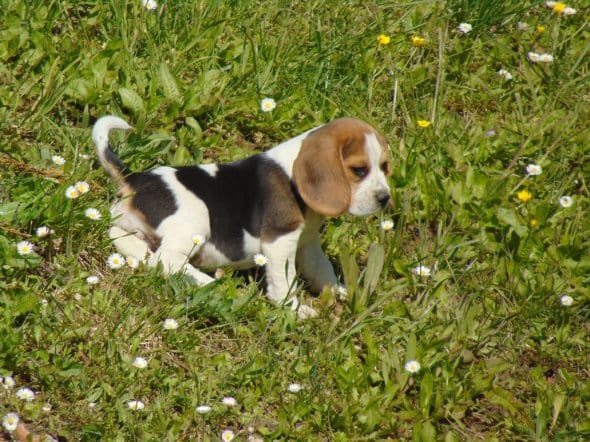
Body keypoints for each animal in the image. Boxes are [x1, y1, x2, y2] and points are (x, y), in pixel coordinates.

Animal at [93, 117, 394, 318]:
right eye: (359, 170)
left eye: (384, 167)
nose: (384, 198)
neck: (292, 175)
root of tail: (134, 178)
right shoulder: (280, 241)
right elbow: (285, 281)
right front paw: (295, 310)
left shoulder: (308, 244)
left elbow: (322, 271)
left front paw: (341, 291)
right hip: (197, 217)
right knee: (165, 261)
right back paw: (208, 283)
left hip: (129, 226)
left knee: (125, 240)